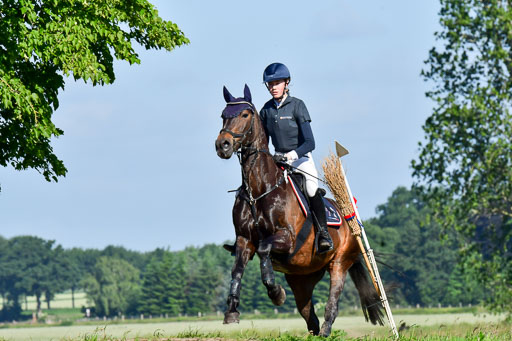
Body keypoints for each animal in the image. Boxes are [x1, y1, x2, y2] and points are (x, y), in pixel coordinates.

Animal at [214, 84, 382, 334]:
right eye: (223, 116)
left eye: (245, 114)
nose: (222, 145)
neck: (258, 190)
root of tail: (350, 220)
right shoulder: (244, 239)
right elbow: (237, 270)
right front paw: (232, 311)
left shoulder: (287, 238)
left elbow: (264, 249)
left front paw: (276, 293)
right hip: (301, 277)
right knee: (309, 315)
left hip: (339, 263)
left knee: (331, 306)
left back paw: (325, 330)